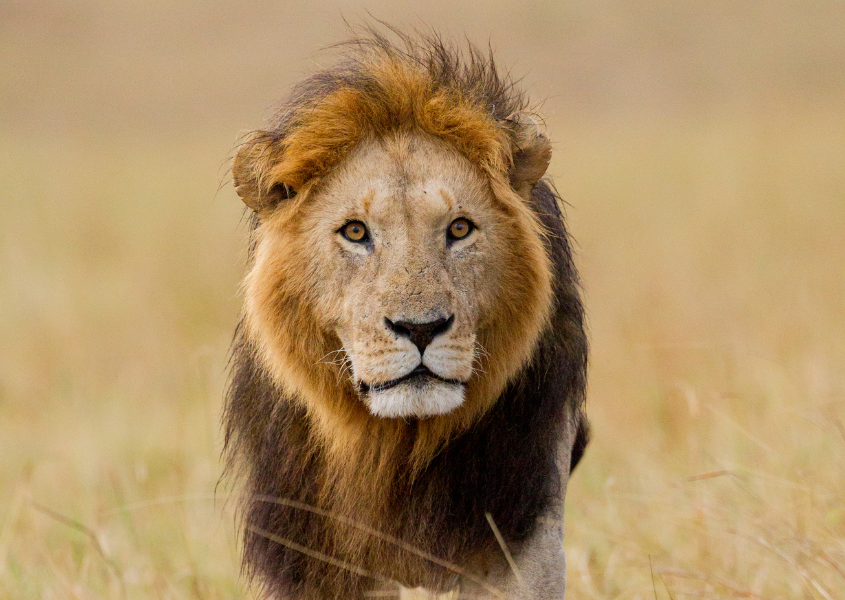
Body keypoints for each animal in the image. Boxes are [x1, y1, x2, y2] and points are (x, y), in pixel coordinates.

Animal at [224, 29, 592, 600]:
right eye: (355, 232)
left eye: (460, 228)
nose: (420, 329)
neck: (391, 447)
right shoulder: (316, 555)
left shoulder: (520, 527)